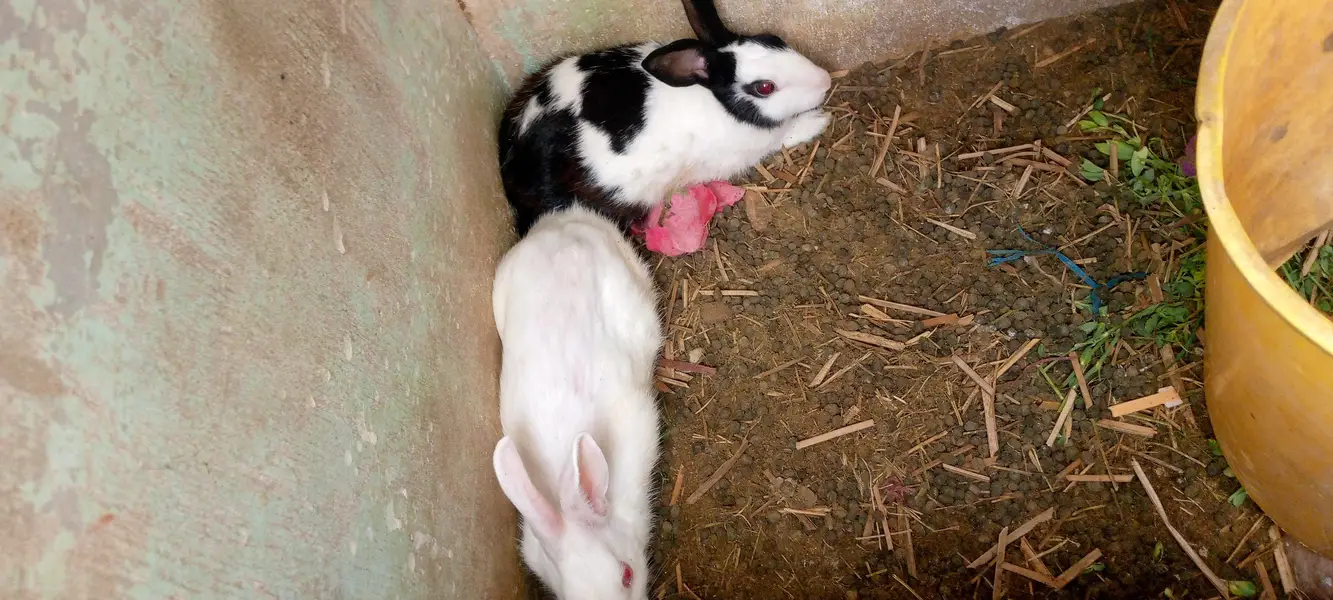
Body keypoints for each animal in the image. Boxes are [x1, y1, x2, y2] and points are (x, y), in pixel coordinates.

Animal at [497, 0, 833, 236]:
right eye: (765, 87)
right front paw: (819, 120)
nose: (826, 81)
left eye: (775, 39)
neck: (720, 103)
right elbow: (785, 135)